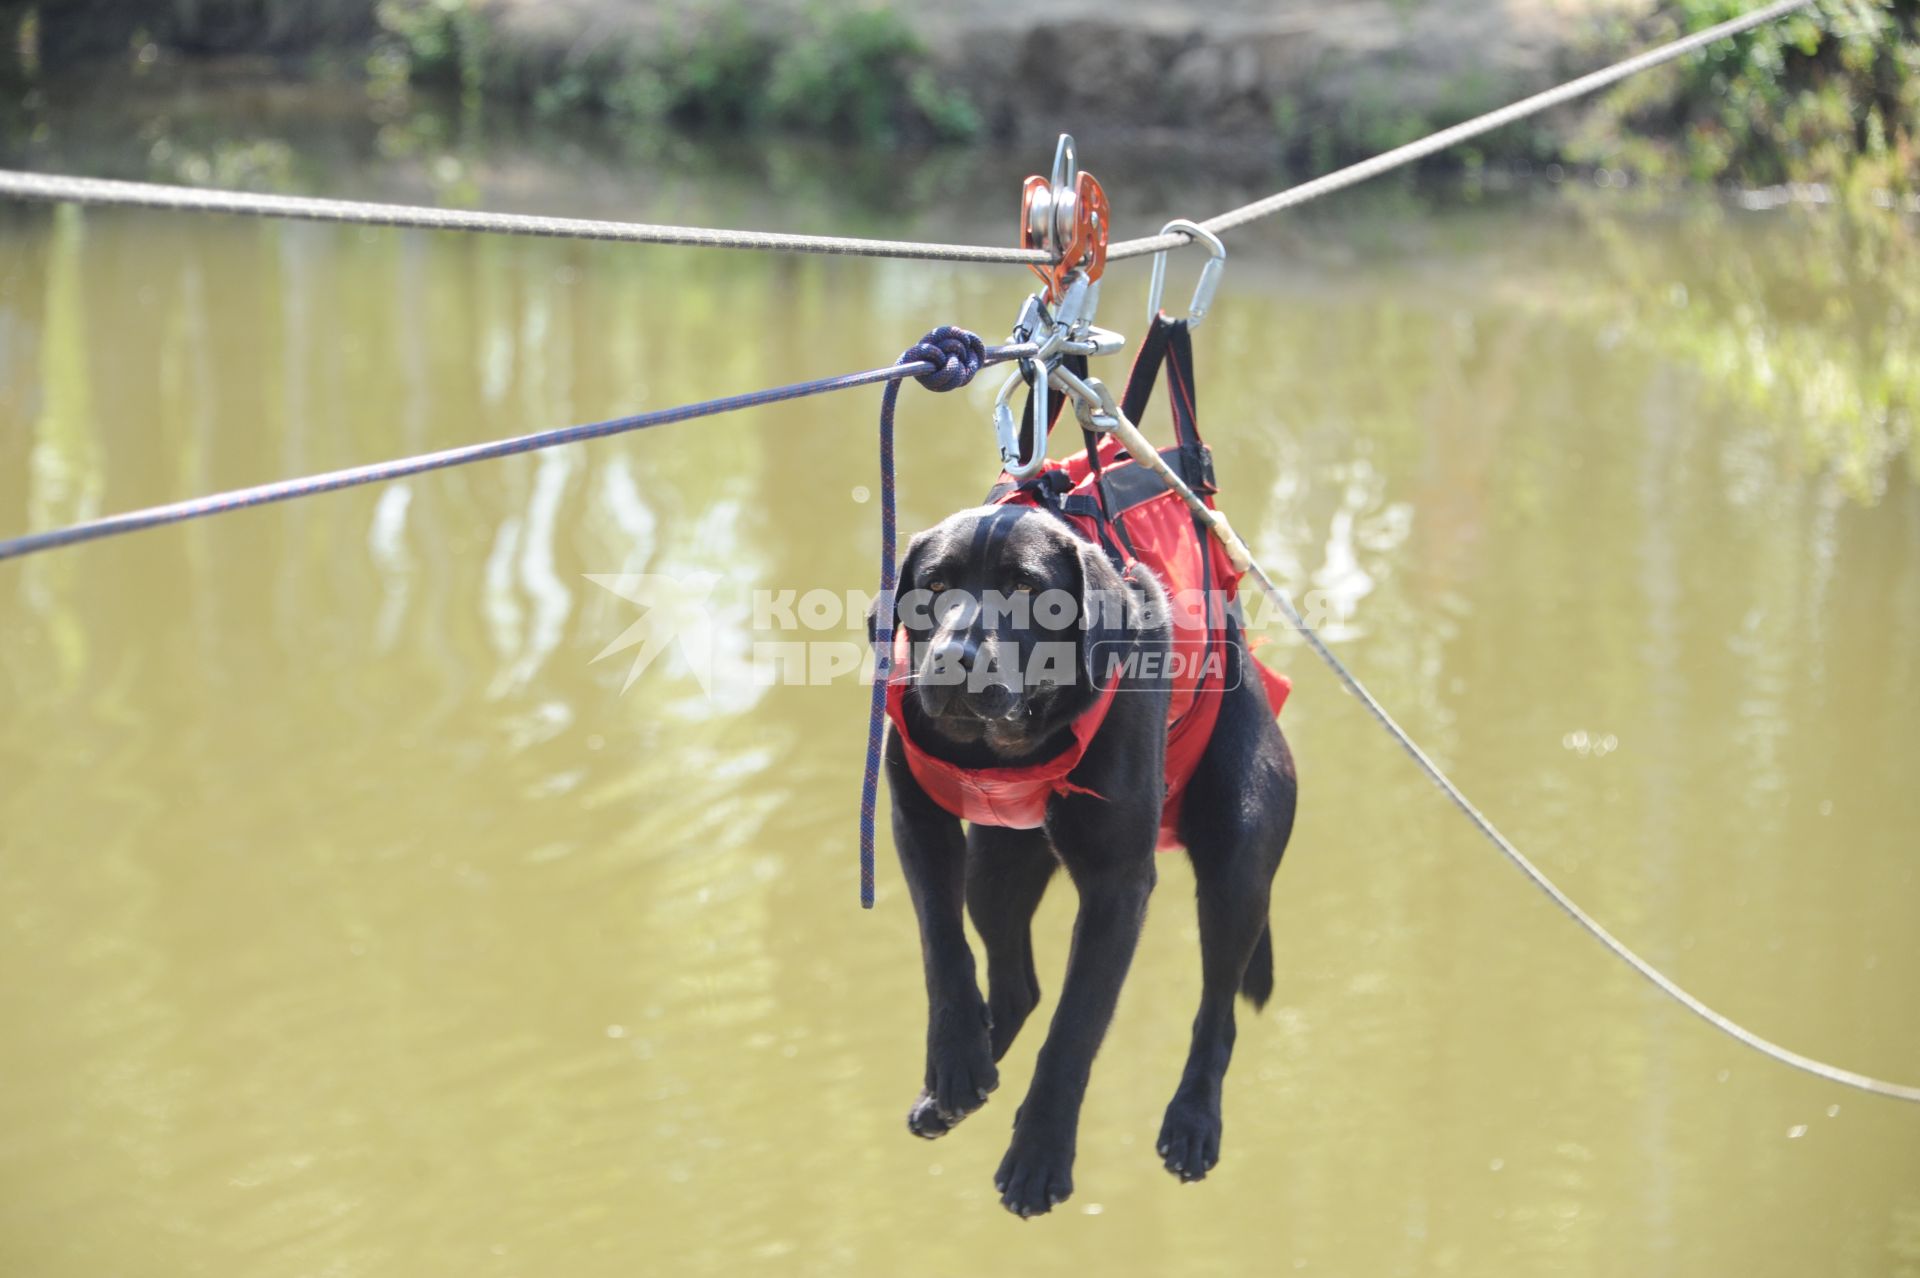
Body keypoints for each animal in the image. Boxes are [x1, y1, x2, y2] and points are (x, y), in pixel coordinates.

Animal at [887, 498, 1305, 1212]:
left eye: (1026, 588)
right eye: (935, 586)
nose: (952, 658)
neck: (1015, 744)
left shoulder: (1118, 886)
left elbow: (1075, 1027)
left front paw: (1039, 1154)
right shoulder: (913, 810)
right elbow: (942, 947)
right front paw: (955, 1059)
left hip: (1239, 863)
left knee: (1217, 1010)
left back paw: (1194, 1121)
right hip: (995, 868)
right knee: (1018, 985)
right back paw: (958, 1085)